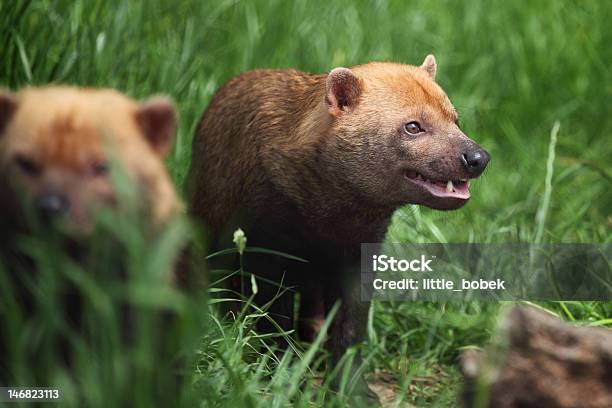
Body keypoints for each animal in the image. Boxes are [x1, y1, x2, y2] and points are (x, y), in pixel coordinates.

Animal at [186, 56, 488, 396]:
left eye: (456, 119)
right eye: (413, 126)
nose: (478, 157)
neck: (328, 220)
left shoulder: (359, 256)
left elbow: (349, 329)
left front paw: (353, 391)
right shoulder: (264, 252)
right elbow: (273, 325)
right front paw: (285, 380)